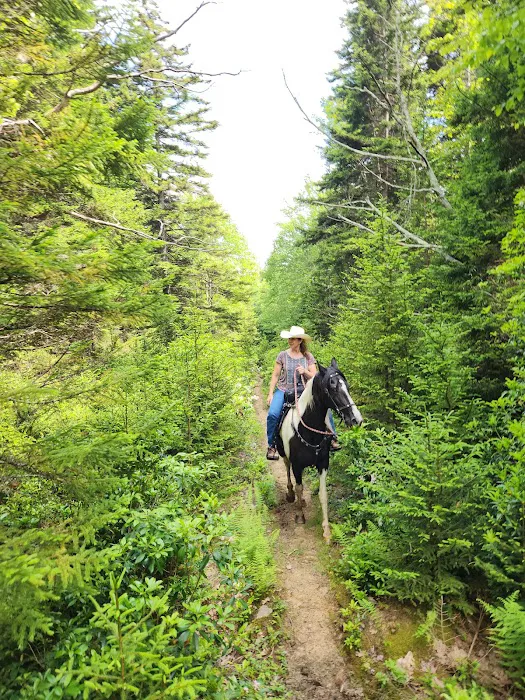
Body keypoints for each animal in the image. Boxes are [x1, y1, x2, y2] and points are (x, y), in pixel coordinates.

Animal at [275, 358, 363, 543]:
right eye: (332, 387)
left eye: (347, 386)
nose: (356, 419)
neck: (309, 431)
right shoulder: (297, 466)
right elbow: (300, 488)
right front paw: (300, 516)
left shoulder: (323, 464)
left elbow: (323, 495)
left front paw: (327, 531)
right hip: (282, 452)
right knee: (286, 468)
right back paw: (290, 494)